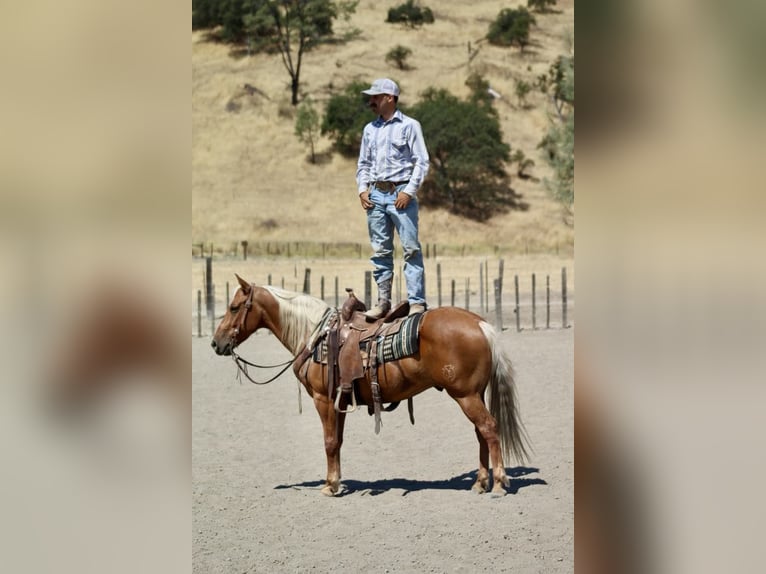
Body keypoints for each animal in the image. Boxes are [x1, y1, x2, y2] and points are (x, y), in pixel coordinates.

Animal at [211, 274, 530, 496]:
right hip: (474, 394)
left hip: (465, 395)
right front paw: (336, 482)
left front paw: (330, 486)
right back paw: (479, 482)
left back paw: (498, 484)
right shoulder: (339, 400)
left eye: (234, 307)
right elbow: (337, 442)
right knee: (481, 433)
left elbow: (328, 442)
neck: (313, 334)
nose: (216, 343)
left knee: (489, 428)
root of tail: (480, 324)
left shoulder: (322, 399)